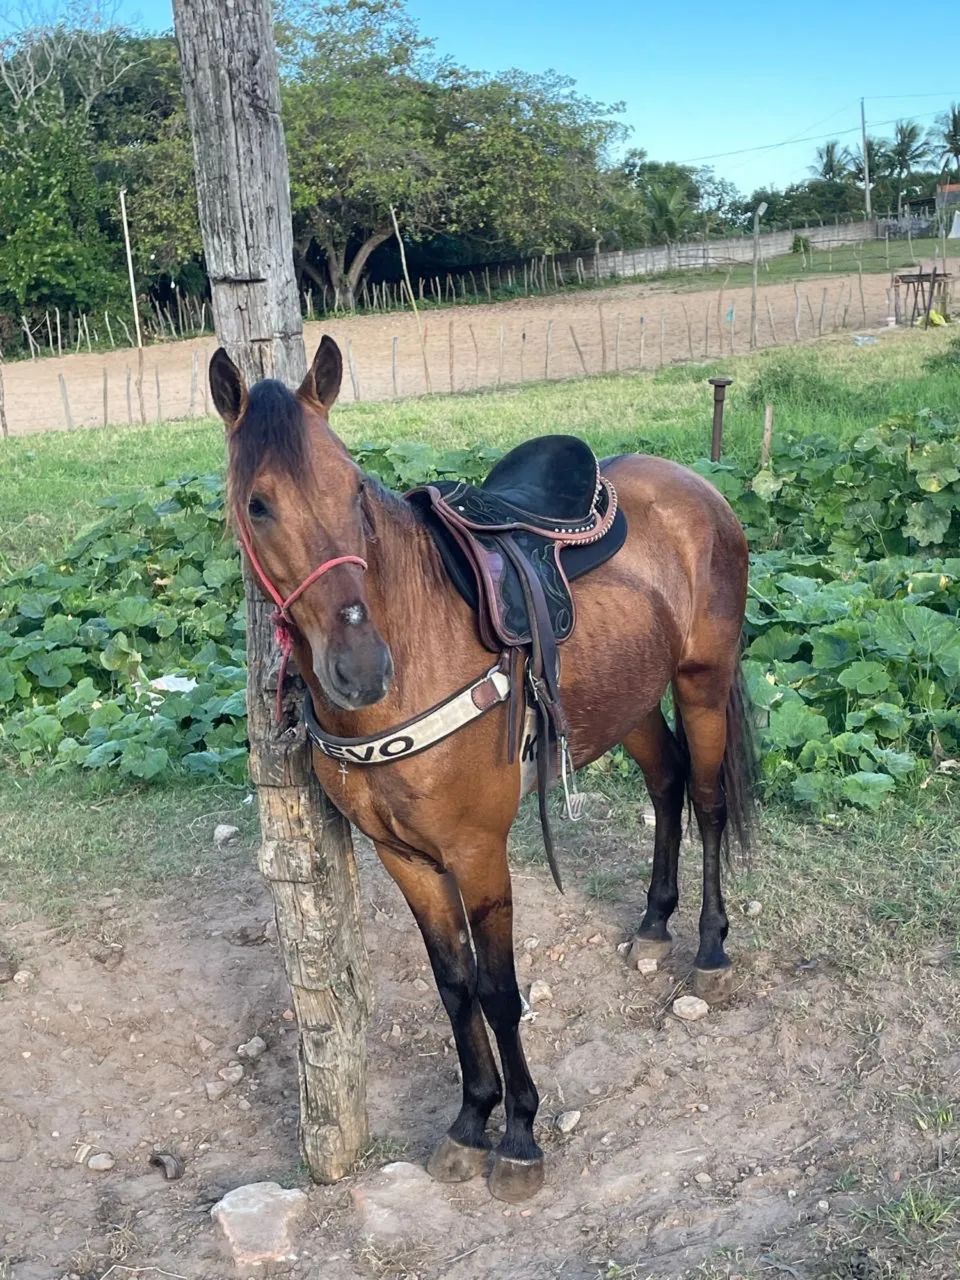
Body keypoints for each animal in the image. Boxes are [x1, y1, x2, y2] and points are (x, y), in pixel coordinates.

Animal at [210, 335, 756, 1204]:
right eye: (258, 505)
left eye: (352, 488)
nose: (361, 668)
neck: (416, 646)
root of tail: (696, 484)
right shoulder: (403, 857)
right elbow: (454, 983)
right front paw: (472, 1119)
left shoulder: (477, 853)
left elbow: (500, 991)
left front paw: (521, 1134)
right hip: (629, 700)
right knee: (667, 781)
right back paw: (652, 923)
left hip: (701, 682)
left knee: (706, 799)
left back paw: (708, 951)